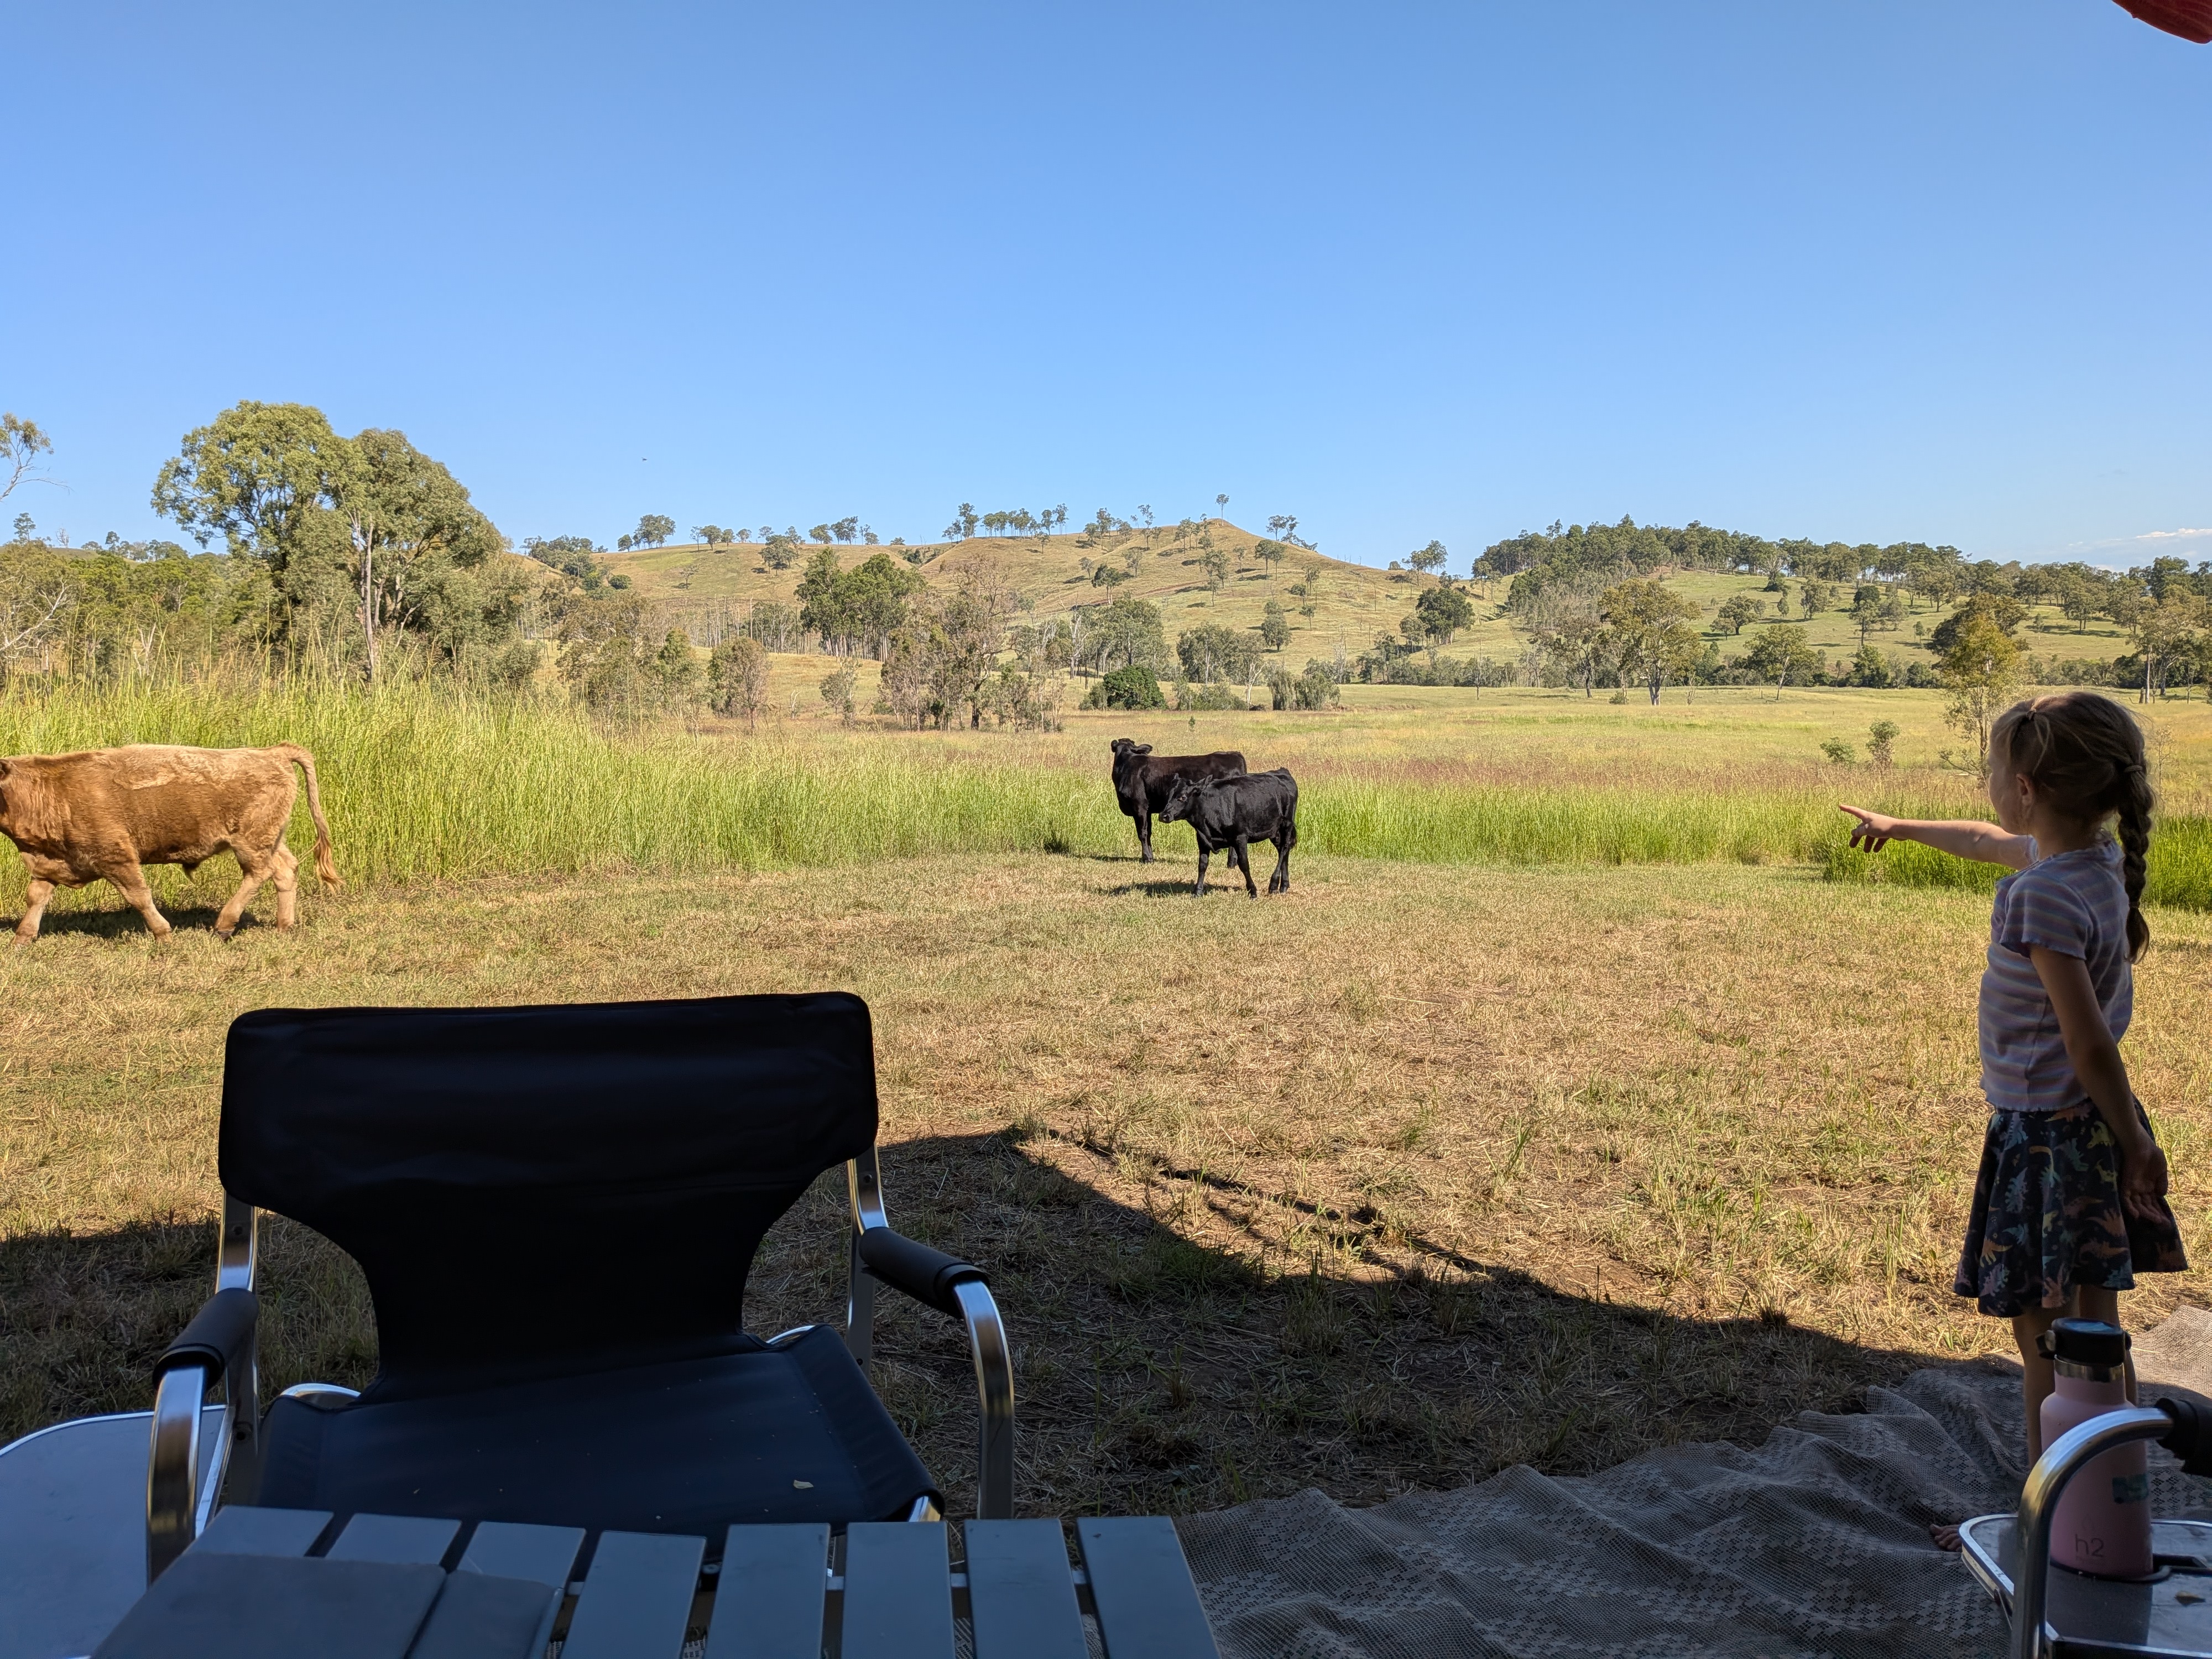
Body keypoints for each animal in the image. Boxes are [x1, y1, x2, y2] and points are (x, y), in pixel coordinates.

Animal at [0, 743, 339, 941]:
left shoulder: (117, 859)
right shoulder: (49, 864)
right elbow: (36, 897)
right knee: (285, 869)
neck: (51, 790)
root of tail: (273, 753)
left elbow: (139, 896)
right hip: (271, 839)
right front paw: (22, 938)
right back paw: (284, 926)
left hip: (250, 842)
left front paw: (163, 934)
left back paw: (224, 925)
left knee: (260, 873)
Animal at [1108, 737, 1246, 862]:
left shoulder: (1139, 805)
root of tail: (1234, 754)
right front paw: (1150, 856)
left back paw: (1232, 862)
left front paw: (1147, 858)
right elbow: (1149, 832)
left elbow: (1143, 833)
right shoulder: (1148, 809)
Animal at [1156, 768, 1298, 898]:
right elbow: (1202, 864)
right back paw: (1284, 885)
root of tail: (1282, 772)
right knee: (1283, 851)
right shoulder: (1202, 838)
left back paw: (1273, 885)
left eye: (1182, 797)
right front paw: (1197, 892)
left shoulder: (1240, 837)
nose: (1164, 815)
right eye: (1168, 794)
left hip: (1287, 824)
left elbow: (1244, 864)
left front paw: (1252, 891)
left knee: (1285, 849)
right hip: (1274, 832)